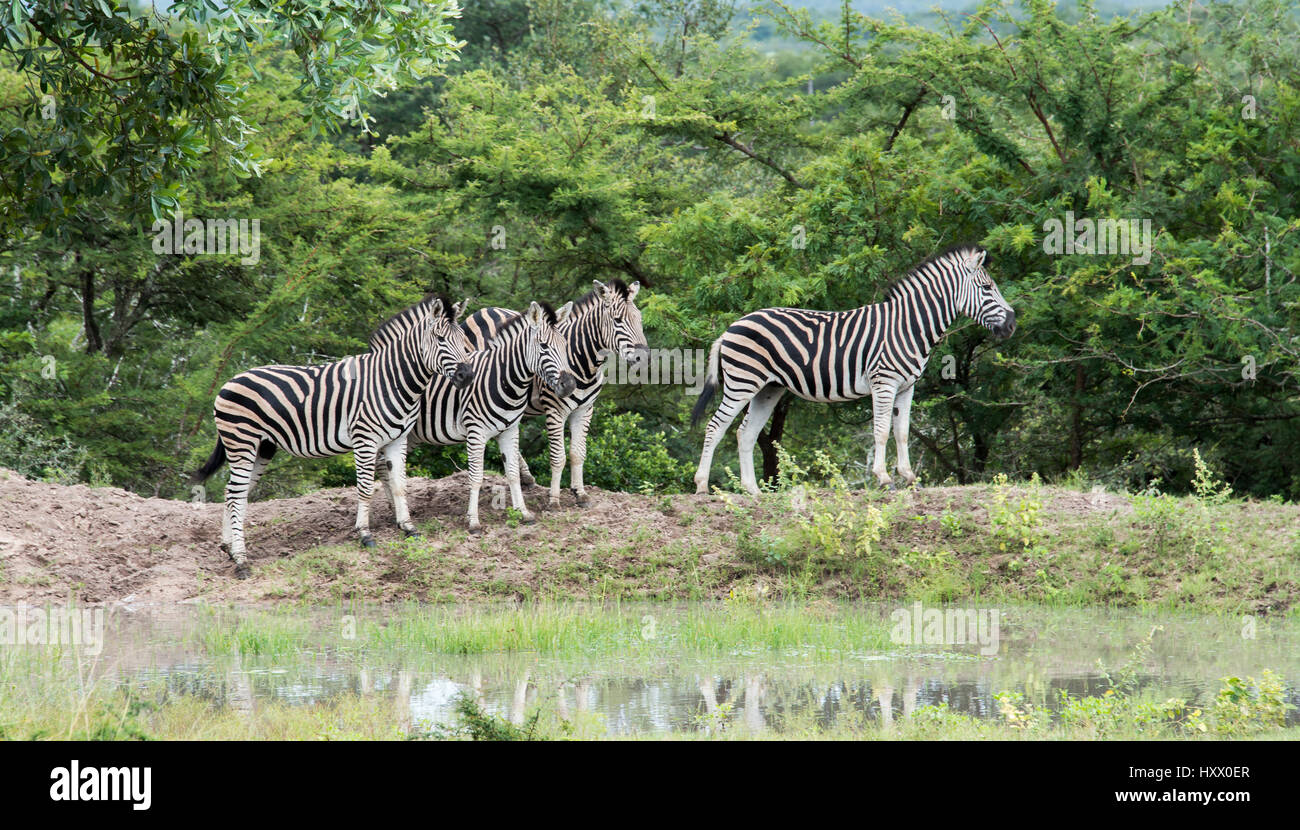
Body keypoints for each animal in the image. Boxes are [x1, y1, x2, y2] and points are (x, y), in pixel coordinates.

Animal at [191, 295, 474, 578]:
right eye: (440, 338)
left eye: (462, 338)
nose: (467, 375)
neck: (392, 380)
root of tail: (229, 381)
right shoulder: (364, 439)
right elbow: (365, 489)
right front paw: (365, 534)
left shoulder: (397, 439)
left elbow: (399, 485)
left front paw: (409, 528)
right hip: (242, 442)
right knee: (236, 494)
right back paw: (241, 561)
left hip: (263, 446)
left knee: (232, 493)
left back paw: (229, 549)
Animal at [400, 301, 578, 533]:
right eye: (544, 346)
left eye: (565, 344)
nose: (570, 385)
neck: (503, 378)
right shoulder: (475, 432)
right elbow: (475, 477)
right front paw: (473, 522)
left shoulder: (510, 430)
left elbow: (512, 473)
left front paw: (524, 513)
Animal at [460, 279, 649, 507]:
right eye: (618, 320)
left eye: (639, 319)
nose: (644, 357)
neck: (585, 362)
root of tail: (483, 310)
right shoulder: (555, 410)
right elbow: (558, 457)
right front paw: (554, 500)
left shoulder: (585, 410)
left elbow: (578, 453)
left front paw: (580, 493)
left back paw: (526, 477)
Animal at [691, 245, 1015, 495]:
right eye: (987, 288)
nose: (1012, 324)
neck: (908, 325)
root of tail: (731, 327)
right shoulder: (884, 381)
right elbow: (881, 431)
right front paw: (884, 479)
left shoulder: (906, 387)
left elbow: (902, 432)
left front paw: (910, 478)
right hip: (742, 381)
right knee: (716, 426)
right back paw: (702, 486)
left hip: (769, 388)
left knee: (745, 433)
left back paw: (753, 491)